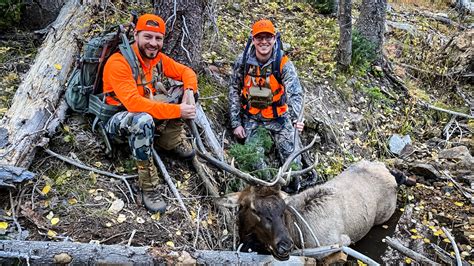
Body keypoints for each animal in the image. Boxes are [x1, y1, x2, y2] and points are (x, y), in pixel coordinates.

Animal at [222, 160, 404, 260]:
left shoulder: (339, 241)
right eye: (253, 208)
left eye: (282, 207)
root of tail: (389, 173)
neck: (298, 233)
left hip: (386, 213)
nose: (285, 245)